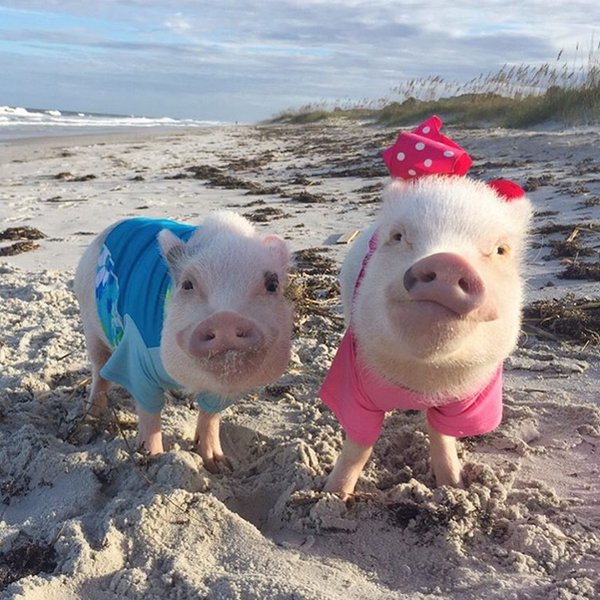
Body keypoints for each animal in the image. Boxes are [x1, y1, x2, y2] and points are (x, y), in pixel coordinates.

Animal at [74, 212, 293, 472]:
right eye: (188, 284)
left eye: (272, 284)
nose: (226, 318)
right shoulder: (136, 356)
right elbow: (149, 411)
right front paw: (154, 457)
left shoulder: (222, 391)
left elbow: (210, 415)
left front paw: (218, 464)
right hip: (91, 326)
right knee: (100, 371)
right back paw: (89, 419)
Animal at [320, 175, 532, 496]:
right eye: (397, 236)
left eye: (501, 250)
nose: (447, 262)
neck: (421, 380)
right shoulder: (351, 382)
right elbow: (359, 444)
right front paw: (331, 495)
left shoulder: (471, 398)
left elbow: (442, 435)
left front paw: (453, 487)